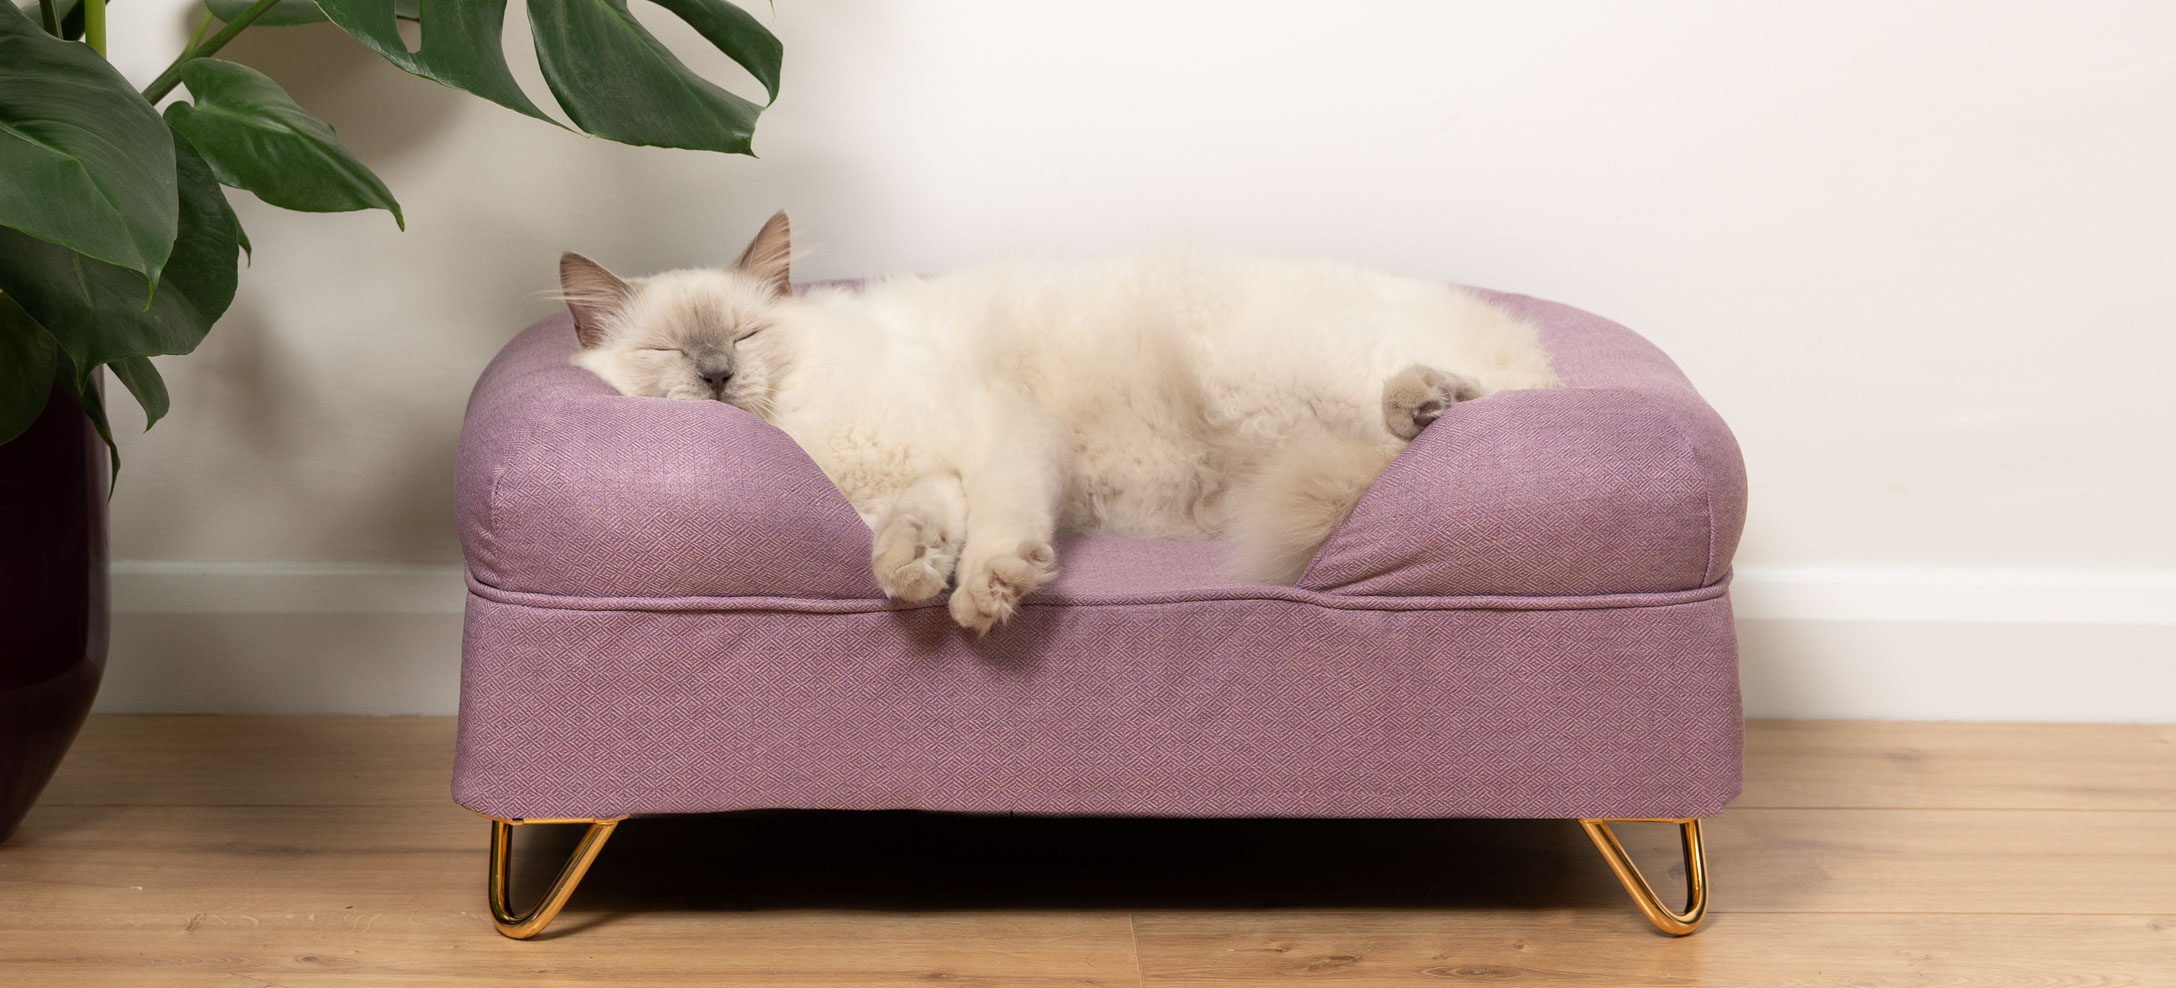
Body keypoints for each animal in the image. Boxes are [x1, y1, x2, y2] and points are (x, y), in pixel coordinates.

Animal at [561, 212, 1549, 635]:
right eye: (668, 352)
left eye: (743, 336)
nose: (717, 376)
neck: (805, 426)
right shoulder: (928, 478)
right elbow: (909, 535)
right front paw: (915, 576)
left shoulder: (1004, 437)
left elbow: (999, 531)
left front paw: (986, 595)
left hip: (1272, 372)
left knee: (1468, 401)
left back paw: (1424, 398)